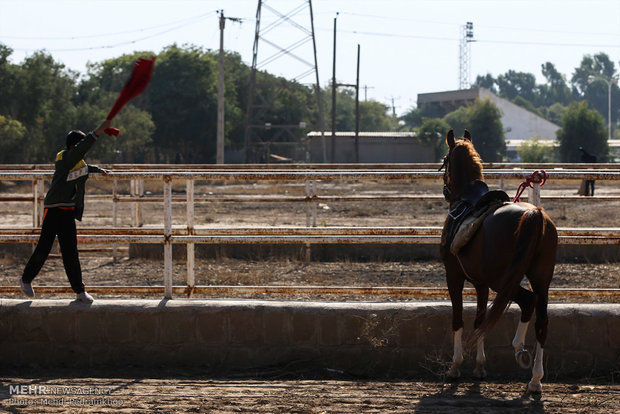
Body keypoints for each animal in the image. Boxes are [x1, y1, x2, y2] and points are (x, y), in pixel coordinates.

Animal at [438, 128, 560, 392]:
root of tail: (535, 213)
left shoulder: (454, 276)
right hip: (540, 279)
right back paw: (535, 380)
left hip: (503, 281)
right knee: (542, 321)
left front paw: (456, 367)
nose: (445, 190)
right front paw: (479, 367)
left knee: (528, 302)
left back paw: (519, 350)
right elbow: (480, 320)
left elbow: (458, 319)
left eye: (445, 160)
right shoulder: (481, 283)